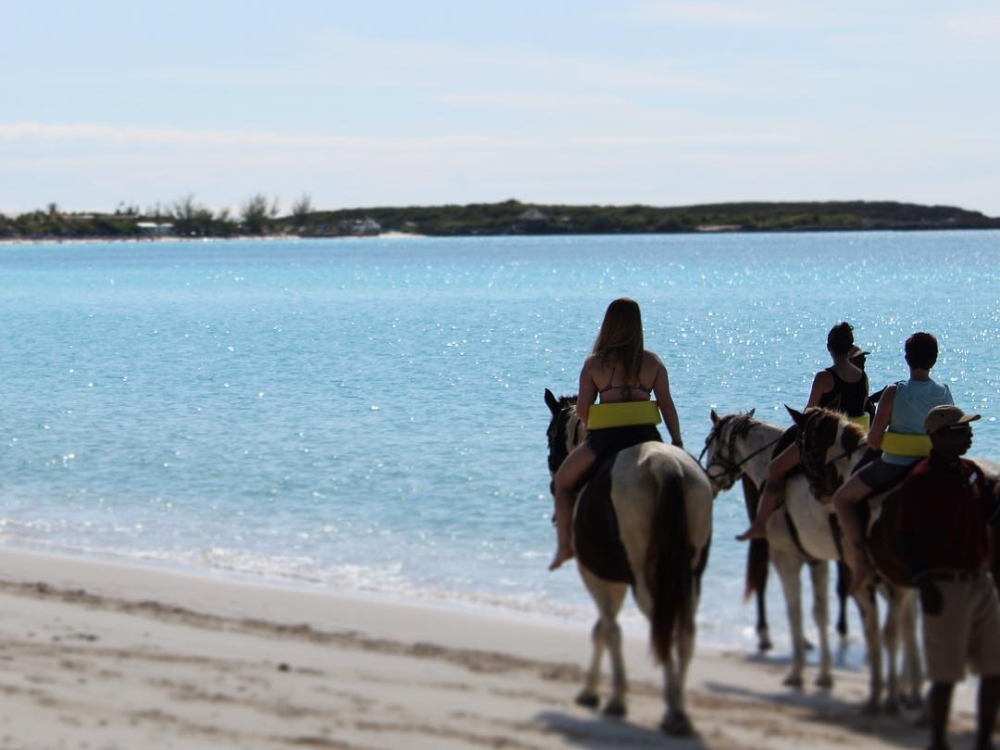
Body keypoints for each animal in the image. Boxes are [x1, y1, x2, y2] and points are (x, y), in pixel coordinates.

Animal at [544, 390, 716, 736]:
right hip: (689, 575)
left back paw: (673, 711)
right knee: (685, 631)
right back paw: (679, 707)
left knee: (661, 627)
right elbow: (604, 628)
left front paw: (609, 696)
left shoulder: (597, 575)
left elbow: (607, 629)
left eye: (550, 434)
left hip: (647, 578)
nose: (554, 478)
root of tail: (664, 466)